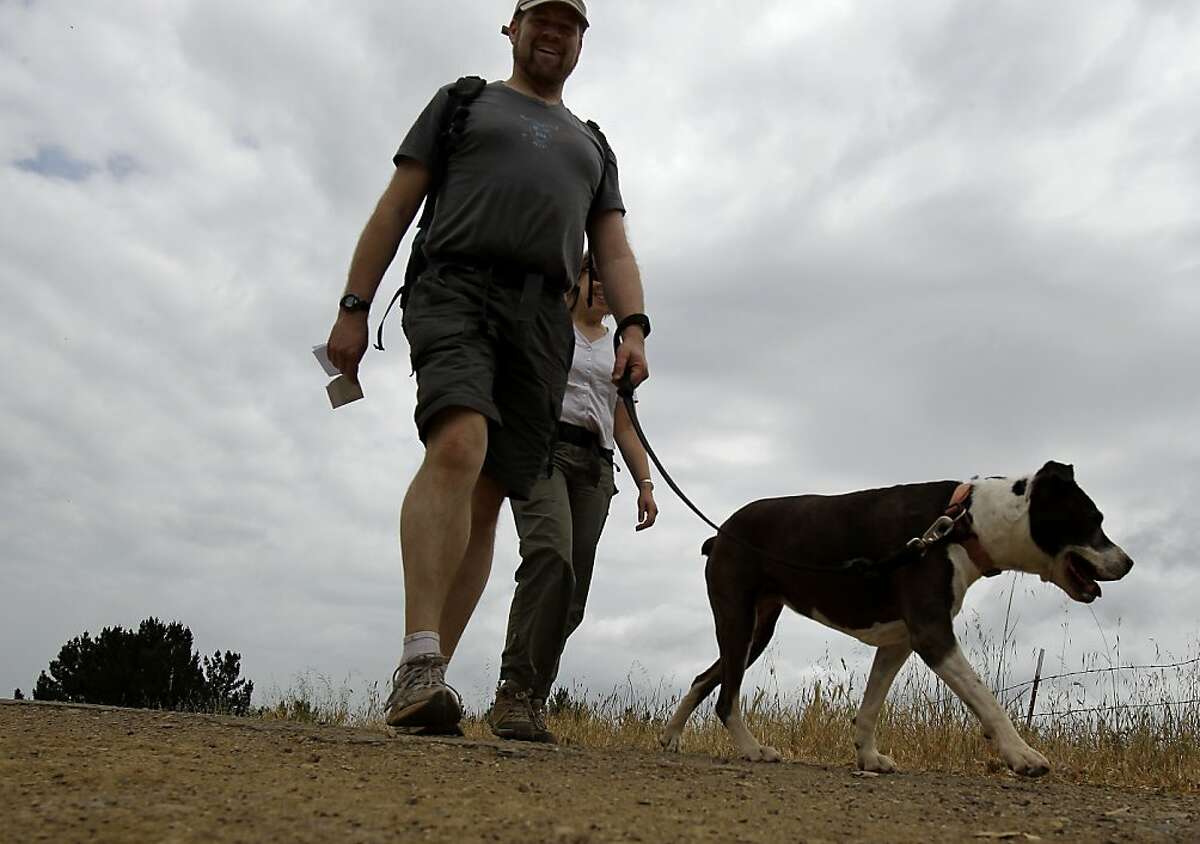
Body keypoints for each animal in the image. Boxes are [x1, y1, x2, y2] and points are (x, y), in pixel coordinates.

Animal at [662, 461, 1128, 777]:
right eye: (1094, 520)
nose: (1128, 562)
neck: (968, 524)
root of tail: (719, 534)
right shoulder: (931, 633)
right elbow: (986, 698)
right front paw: (1022, 755)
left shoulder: (898, 642)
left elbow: (870, 706)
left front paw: (868, 758)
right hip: (739, 620)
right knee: (725, 697)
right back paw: (753, 749)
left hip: (755, 630)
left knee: (705, 678)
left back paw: (671, 736)